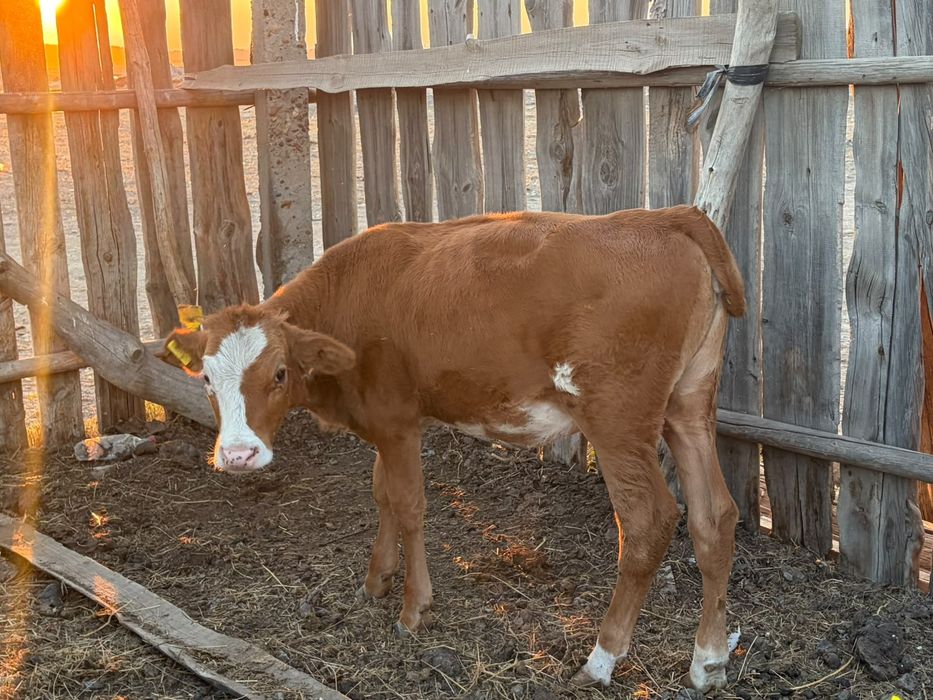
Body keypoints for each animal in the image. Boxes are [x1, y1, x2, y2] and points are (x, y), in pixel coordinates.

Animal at [163, 205, 745, 692]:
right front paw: (377, 580)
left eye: (279, 373)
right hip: (690, 405)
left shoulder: (397, 420)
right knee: (714, 516)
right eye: (207, 379)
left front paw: (412, 609)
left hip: (617, 420)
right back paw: (708, 661)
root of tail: (668, 217)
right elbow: (381, 493)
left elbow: (409, 504)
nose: (238, 456)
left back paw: (601, 659)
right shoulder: (384, 423)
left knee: (648, 522)